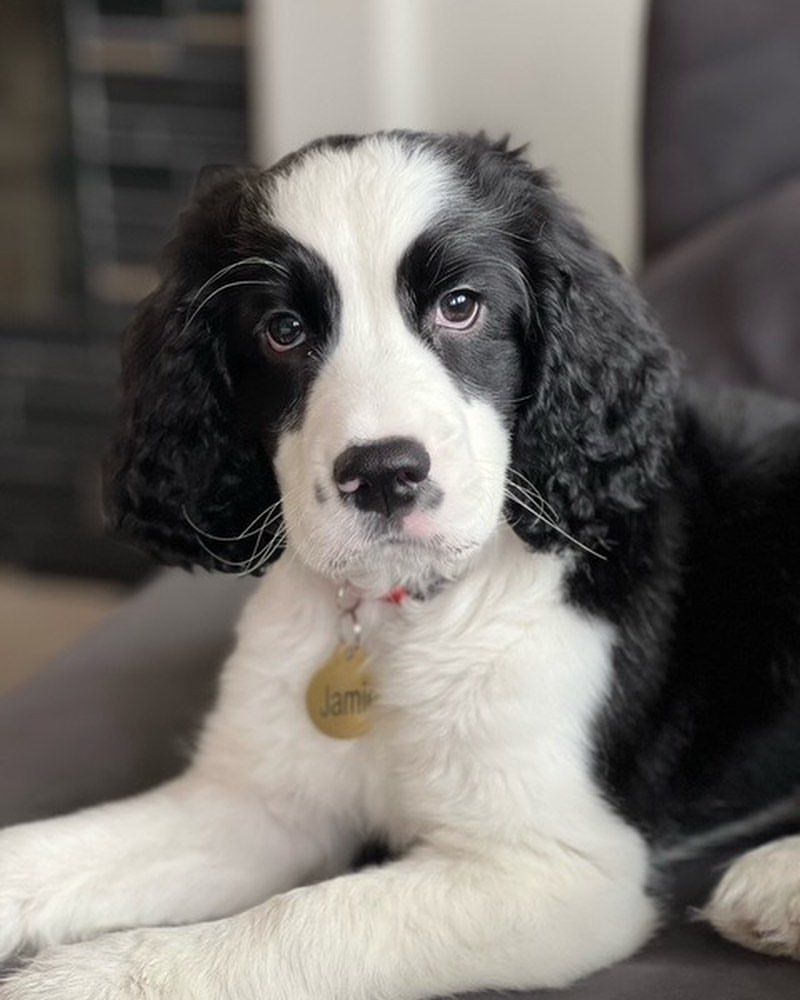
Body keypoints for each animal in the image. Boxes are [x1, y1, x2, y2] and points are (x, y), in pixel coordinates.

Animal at [1, 133, 800, 1000]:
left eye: (461, 306)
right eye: (283, 329)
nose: (384, 474)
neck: (403, 612)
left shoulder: (555, 869)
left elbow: (307, 919)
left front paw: (85, 976)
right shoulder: (256, 804)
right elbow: (43, 849)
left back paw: (773, 888)